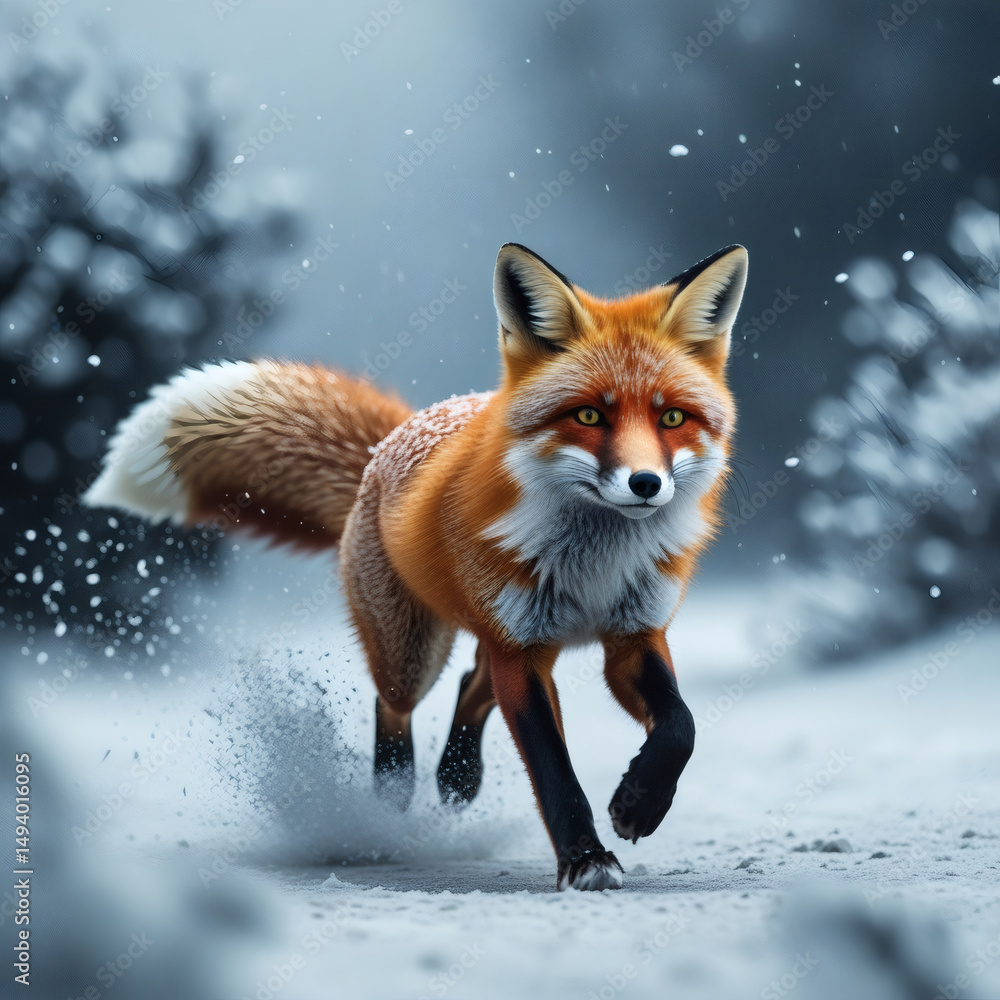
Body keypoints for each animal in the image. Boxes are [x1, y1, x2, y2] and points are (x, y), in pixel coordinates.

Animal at [83, 241, 748, 891]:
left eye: (671, 418)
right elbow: (554, 771)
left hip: (515, 637)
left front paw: (639, 804)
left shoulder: (631, 635)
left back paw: (457, 775)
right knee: (398, 701)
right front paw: (585, 859)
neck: (596, 566)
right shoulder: (521, 650)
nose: (646, 484)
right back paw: (393, 793)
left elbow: (680, 727)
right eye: (588, 416)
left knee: (472, 682)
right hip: (416, 651)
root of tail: (390, 442)